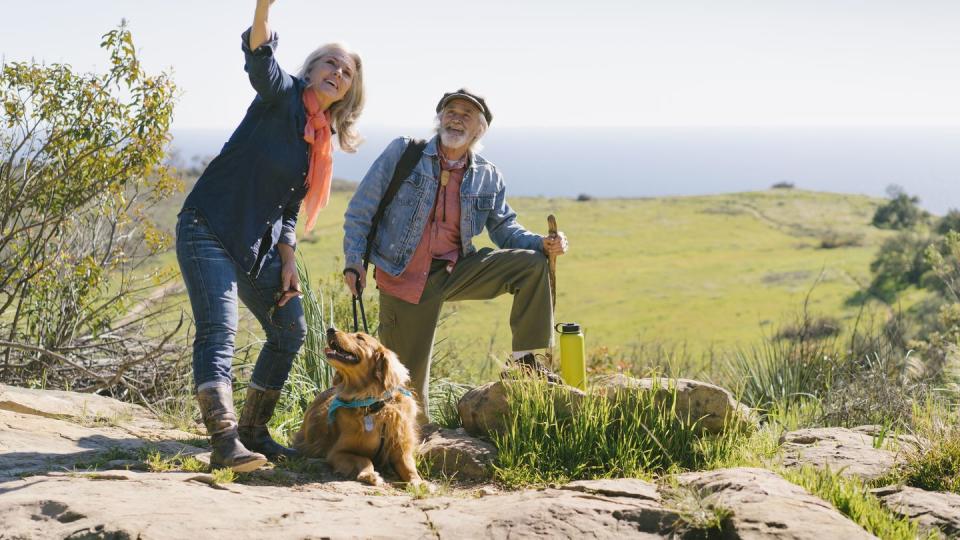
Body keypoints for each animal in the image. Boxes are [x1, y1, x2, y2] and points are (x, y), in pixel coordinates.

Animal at [292, 326, 424, 488]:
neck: (373, 405)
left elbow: (410, 468)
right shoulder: (337, 452)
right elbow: (364, 459)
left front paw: (419, 482)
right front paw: (369, 475)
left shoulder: (401, 451)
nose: (330, 329)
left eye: (360, 338)